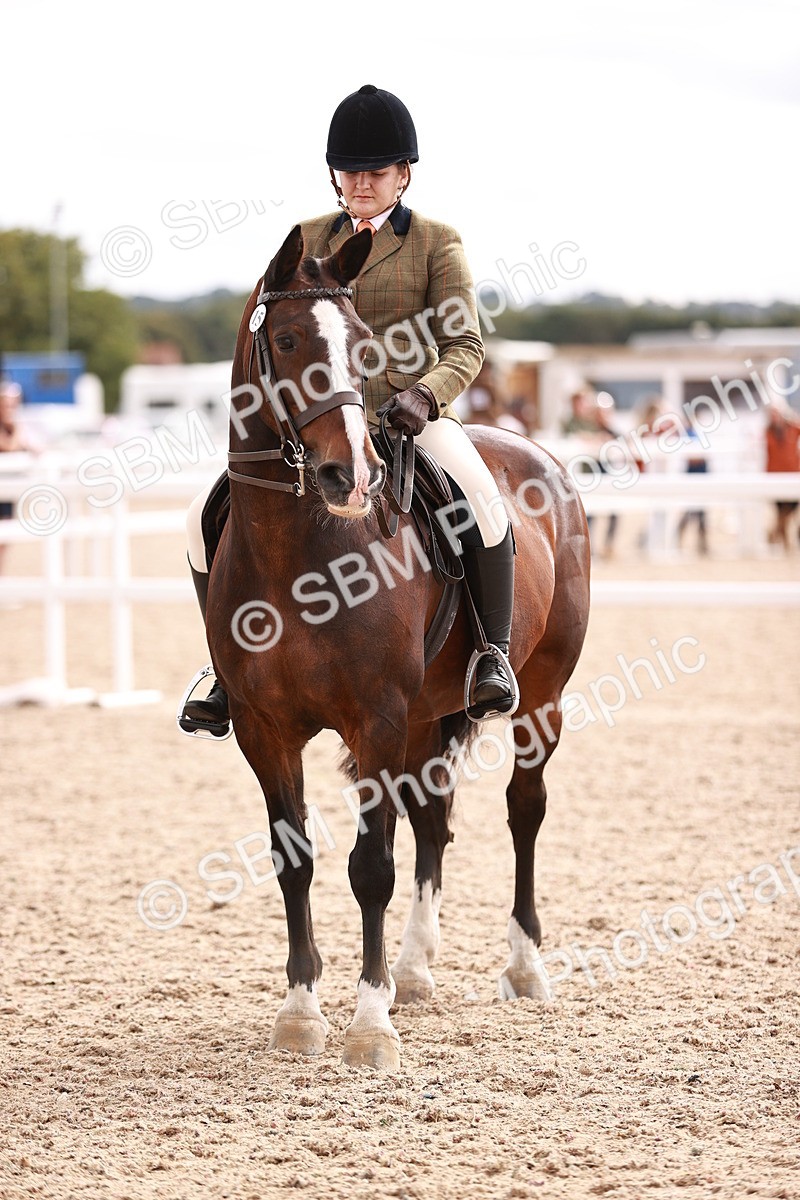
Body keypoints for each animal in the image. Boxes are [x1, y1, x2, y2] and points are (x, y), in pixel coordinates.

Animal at [204, 224, 591, 1069]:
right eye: (288, 340)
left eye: (361, 345)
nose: (349, 476)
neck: (300, 553)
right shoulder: (261, 729)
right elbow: (295, 861)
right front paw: (301, 1014)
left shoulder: (374, 719)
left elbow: (369, 869)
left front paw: (369, 1026)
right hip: (425, 717)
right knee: (433, 819)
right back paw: (415, 971)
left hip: (538, 698)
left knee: (523, 810)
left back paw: (523, 967)